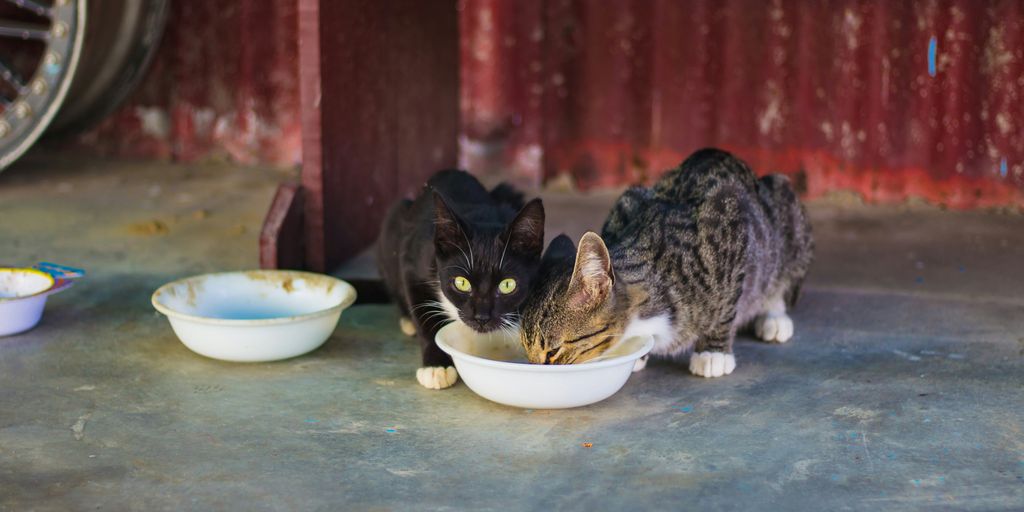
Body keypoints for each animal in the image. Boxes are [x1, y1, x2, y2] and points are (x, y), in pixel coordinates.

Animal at [376, 169, 544, 389]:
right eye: (461, 283)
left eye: (508, 285)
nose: (482, 317)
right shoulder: (411, 263)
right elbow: (424, 315)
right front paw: (436, 366)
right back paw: (408, 321)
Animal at [524, 148, 811, 376]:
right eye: (526, 350)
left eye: (553, 352)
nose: (535, 370)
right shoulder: (626, 202)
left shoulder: (730, 218)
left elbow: (727, 304)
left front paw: (713, 351)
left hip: (787, 218)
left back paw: (774, 314)